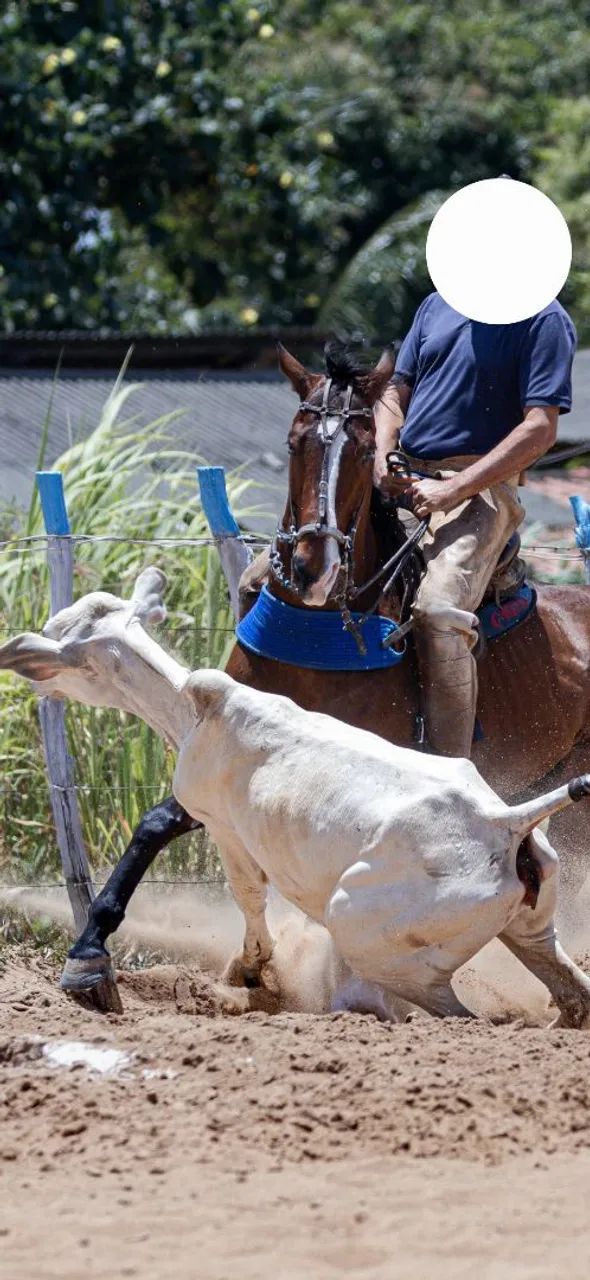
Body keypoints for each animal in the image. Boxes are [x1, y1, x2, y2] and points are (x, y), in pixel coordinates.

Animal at [46, 340, 590, 996]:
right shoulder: (232, 751)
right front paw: (88, 950)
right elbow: (155, 822)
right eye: (293, 441)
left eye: (362, 450)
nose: (312, 566)